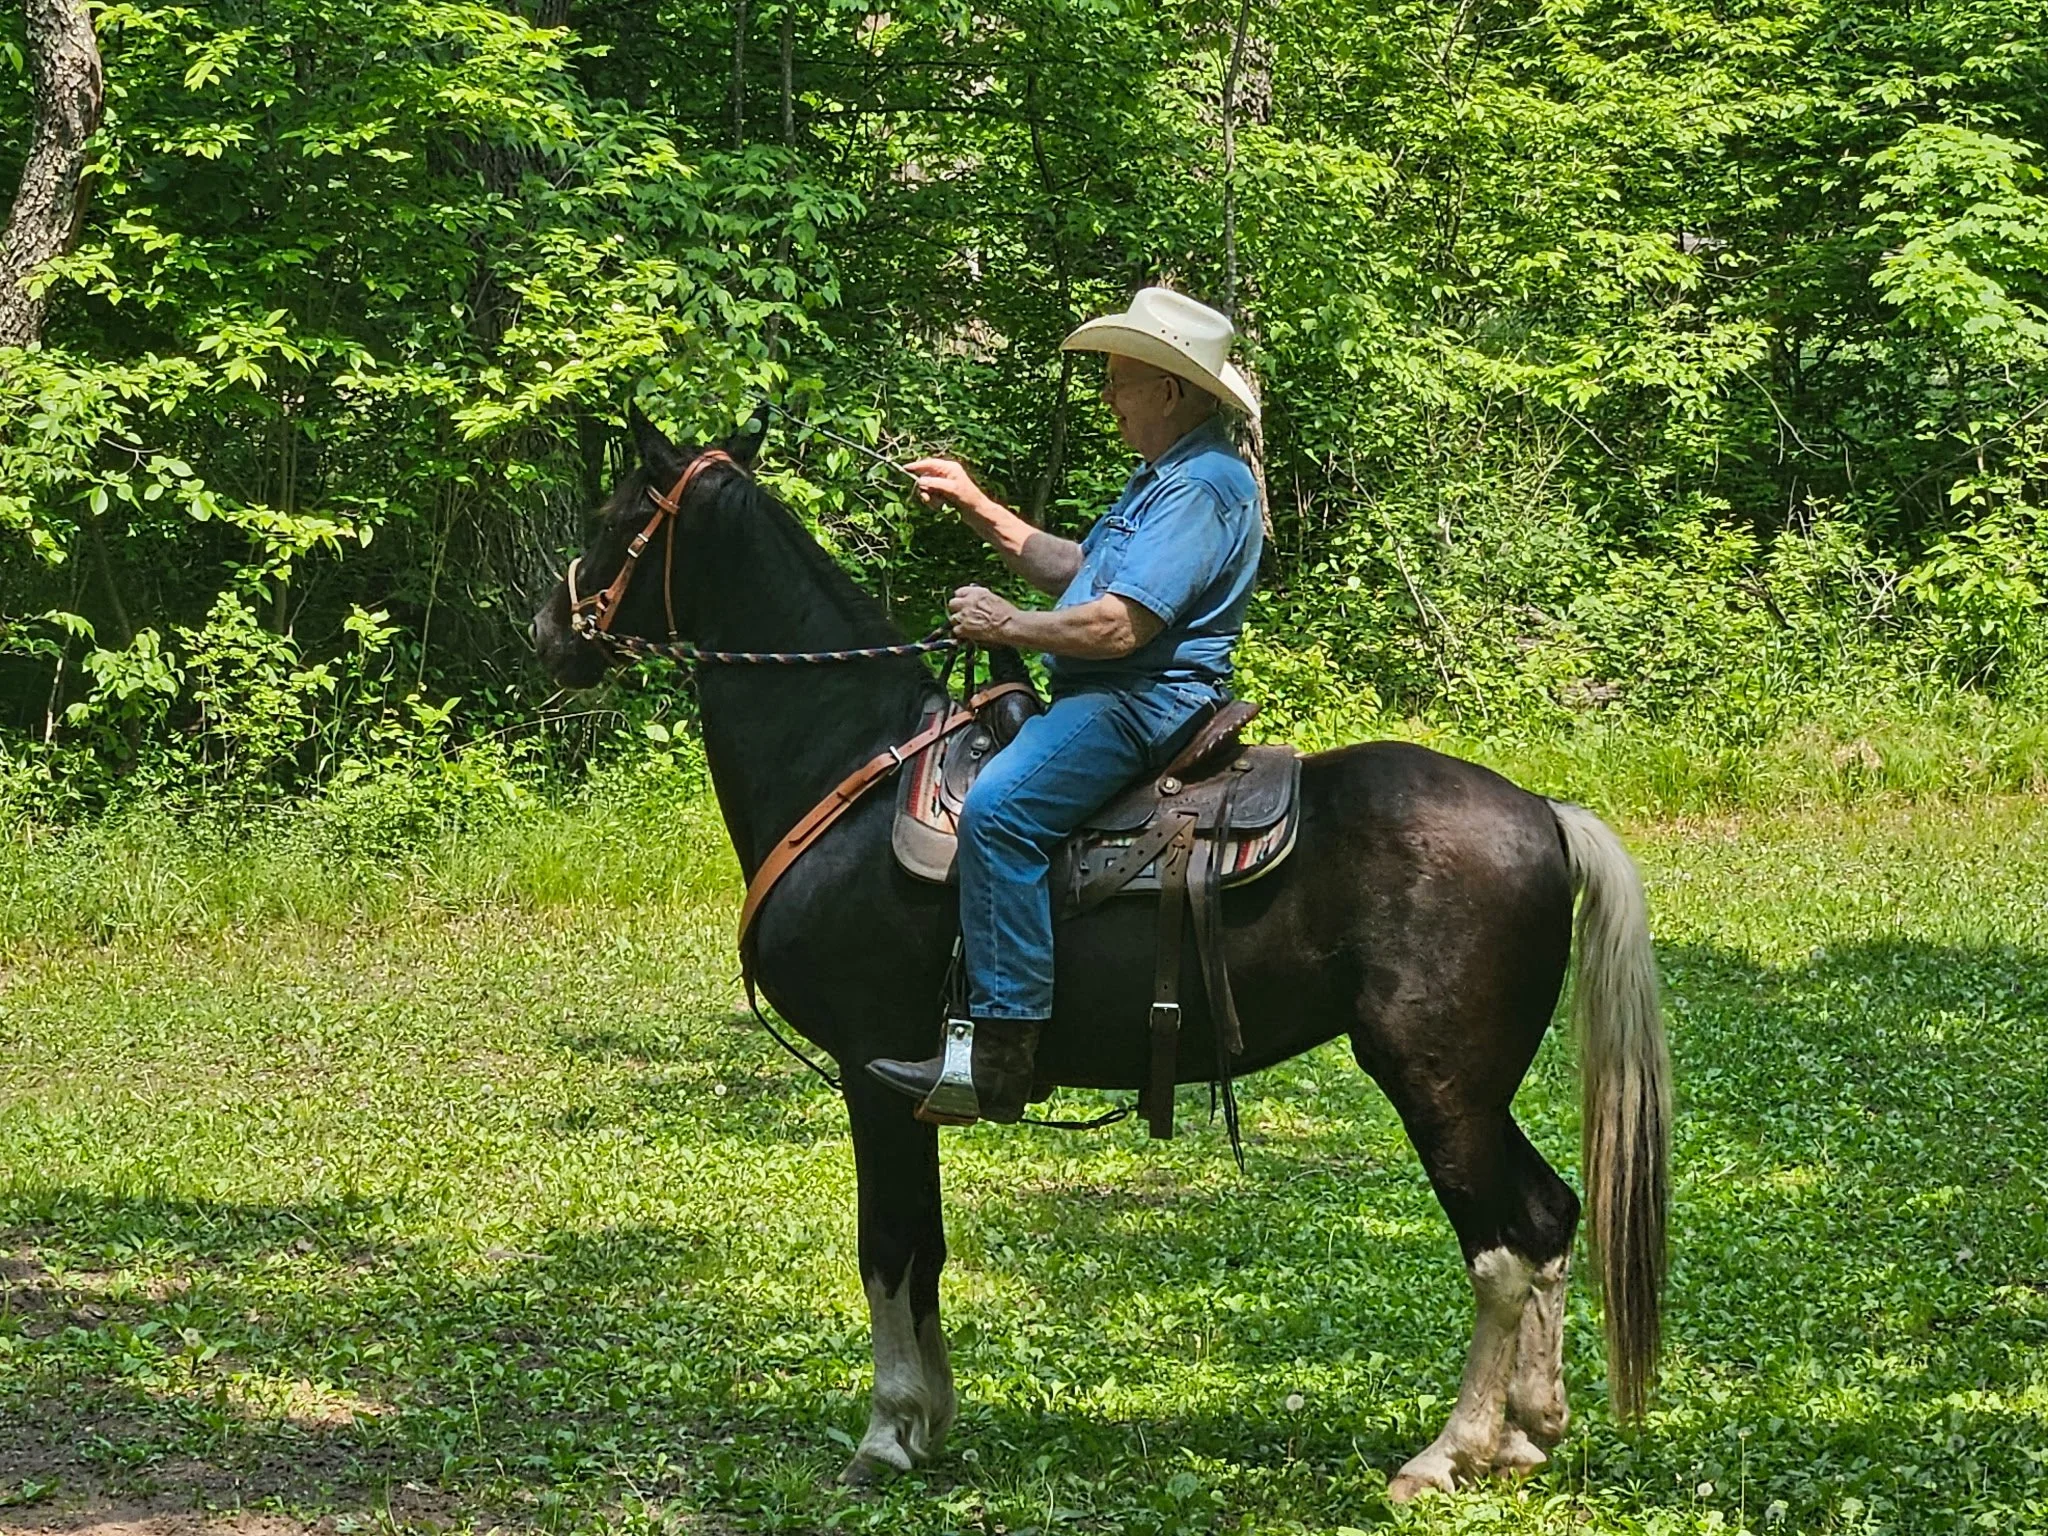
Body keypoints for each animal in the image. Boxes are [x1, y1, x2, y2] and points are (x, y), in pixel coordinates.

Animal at [530, 408, 1670, 1499]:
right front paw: (931, 1421)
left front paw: (887, 1434)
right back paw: (1528, 1434)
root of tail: (1545, 814)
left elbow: (886, 1244)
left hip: (1436, 1083)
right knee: (1548, 1218)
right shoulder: (913, 1084)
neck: (851, 757)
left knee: (1501, 1246)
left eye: (617, 512)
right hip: (1474, 1089)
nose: (548, 627)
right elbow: (926, 1245)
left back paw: (1448, 1453)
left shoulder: (869, 1063)